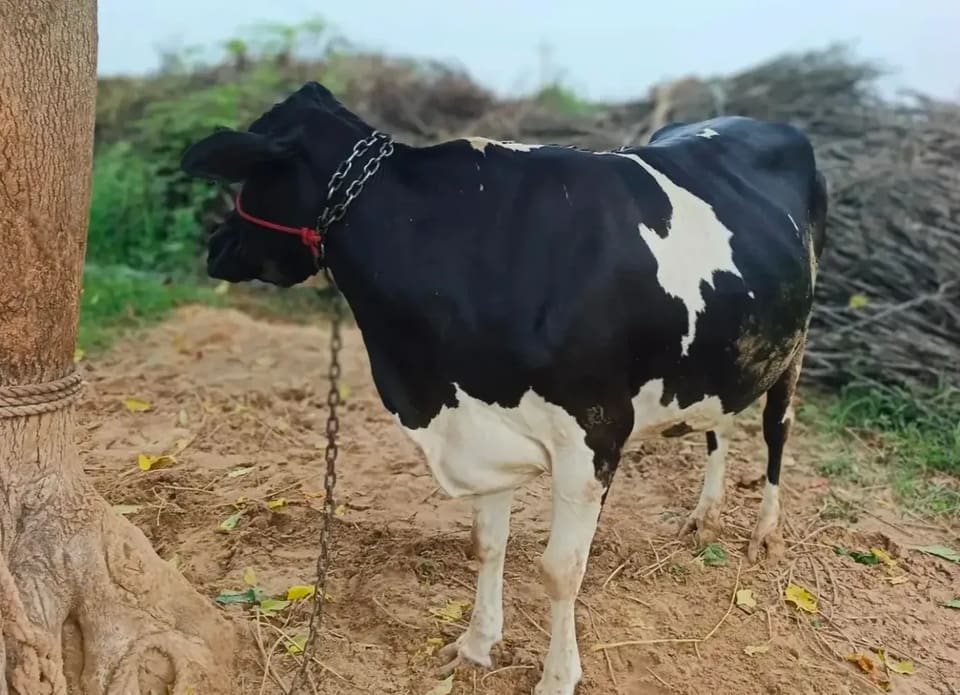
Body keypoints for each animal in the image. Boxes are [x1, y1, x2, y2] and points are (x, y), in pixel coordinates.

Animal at [180, 81, 827, 695]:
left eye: (253, 174)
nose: (217, 246)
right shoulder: (482, 422)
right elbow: (487, 545)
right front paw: (475, 645)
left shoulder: (594, 433)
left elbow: (560, 570)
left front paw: (557, 677)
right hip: (725, 351)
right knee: (719, 424)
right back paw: (704, 516)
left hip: (796, 342)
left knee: (776, 430)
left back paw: (764, 532)